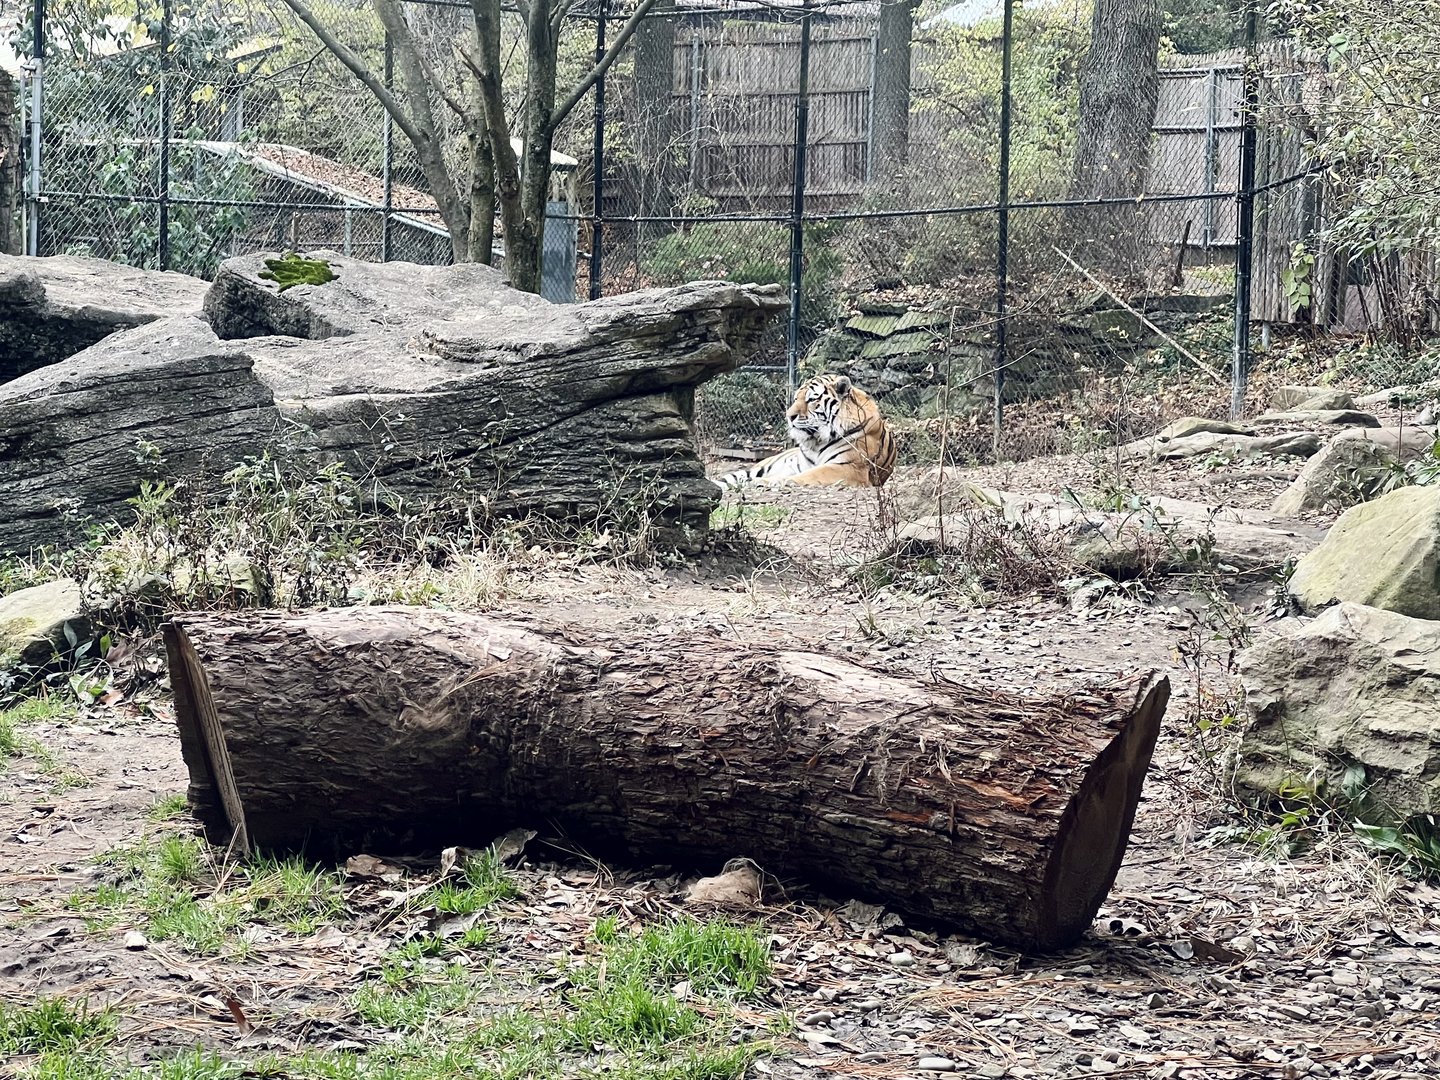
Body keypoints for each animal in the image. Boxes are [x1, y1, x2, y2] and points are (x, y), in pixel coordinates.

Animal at [717, 374, 896, 489]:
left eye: (811, 399)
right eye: (796, 398)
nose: (789, 416)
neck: (815, 441)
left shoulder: (850, 467)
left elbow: (810, 475)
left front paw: (769, 482)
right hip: (758, 467)